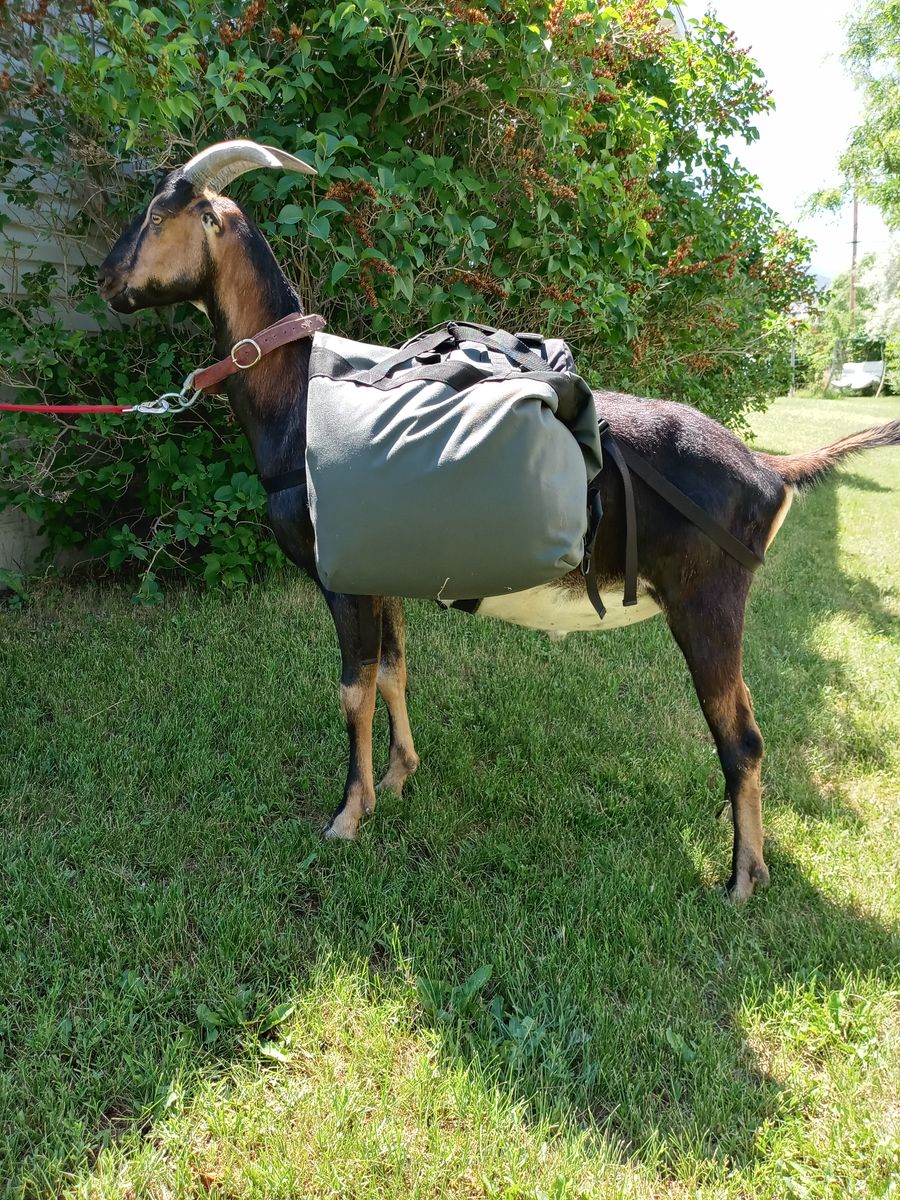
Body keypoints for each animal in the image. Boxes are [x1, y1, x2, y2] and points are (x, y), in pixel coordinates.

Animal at [97, 140, 900, 901]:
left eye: (160, 213)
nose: (105, 282)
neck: (298, 396)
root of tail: (770, 470)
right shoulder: (381, 573)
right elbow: (394, 672)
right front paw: (400, 777)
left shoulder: (342, 579)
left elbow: (353, 688)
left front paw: (347, 817)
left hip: (709, 603)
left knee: (743, 740)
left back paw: (739, 881)